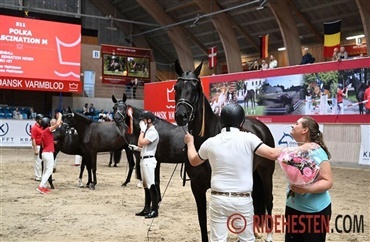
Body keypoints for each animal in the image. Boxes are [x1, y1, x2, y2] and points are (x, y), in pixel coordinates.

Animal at [173, 60, 274, 242]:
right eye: (176, 87)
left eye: (195, 88)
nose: (181, 115)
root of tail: (261, 127)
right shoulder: (197, 188)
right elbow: (202, 221)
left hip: (266, 173)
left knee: (269, 200)